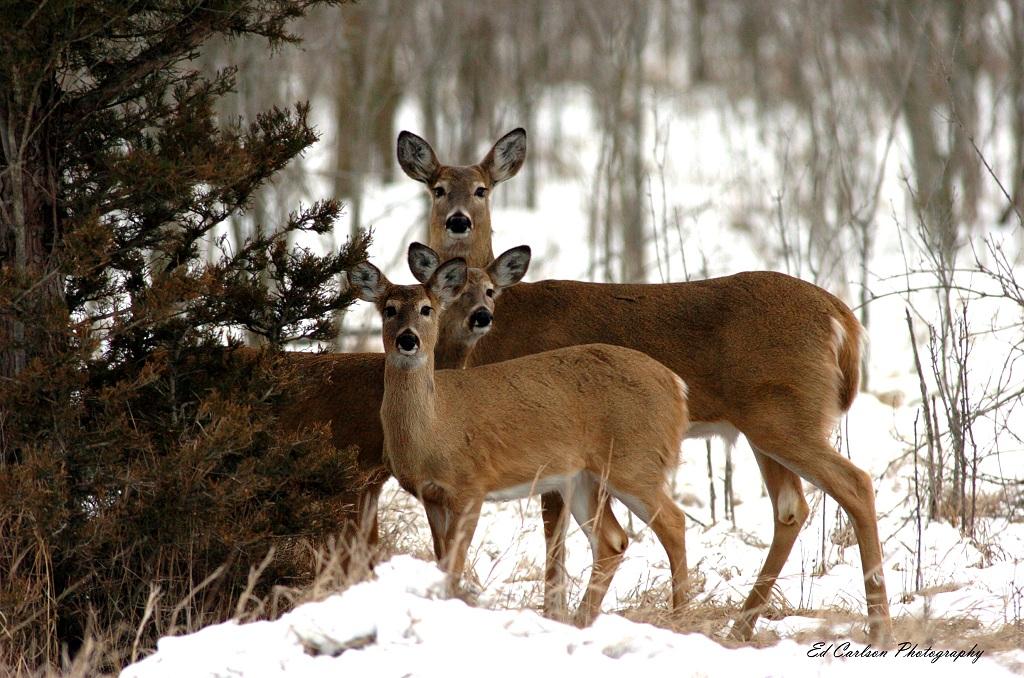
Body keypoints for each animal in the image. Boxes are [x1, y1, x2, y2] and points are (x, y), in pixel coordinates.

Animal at [349, 253, 692, 626]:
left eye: (427, 309)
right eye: (390, 309)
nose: (408, 340)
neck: (435, 428)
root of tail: (676, 386)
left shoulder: (471, 486)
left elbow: (454, 566)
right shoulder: (430, 496)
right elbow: (442, 562)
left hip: (636, 461)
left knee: (674, 522)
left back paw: (680, 617)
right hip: (583, 477)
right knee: (613, 541)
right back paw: (582, 621)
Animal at [397, 128, 893, 644]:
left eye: (482, 189)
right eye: (437, 188)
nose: (458, 221)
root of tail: (843, 319)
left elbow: (553, 531)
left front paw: (554, 612)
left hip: (786, 416)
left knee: (854, 484)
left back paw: (877, 628)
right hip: (767, 423)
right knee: (791, 508)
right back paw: (740, 626)